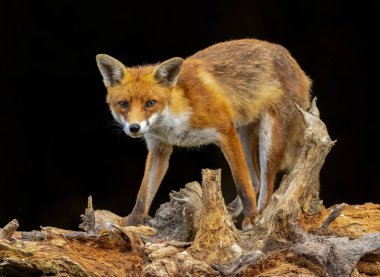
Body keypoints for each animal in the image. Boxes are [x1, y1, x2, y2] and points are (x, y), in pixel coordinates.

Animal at [95, 38, 312, 229]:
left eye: (150, 103)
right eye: (124, 104)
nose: (134, 128)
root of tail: (291, 58)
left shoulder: (225, 131)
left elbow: (241, 183)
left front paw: (251, 217)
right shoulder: (159, 149)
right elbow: (143, 194)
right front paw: (131, 223)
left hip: (268, 138)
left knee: (266, 185)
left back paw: (259, 216)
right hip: (243, 133)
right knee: (255, 180)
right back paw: (232, 211)